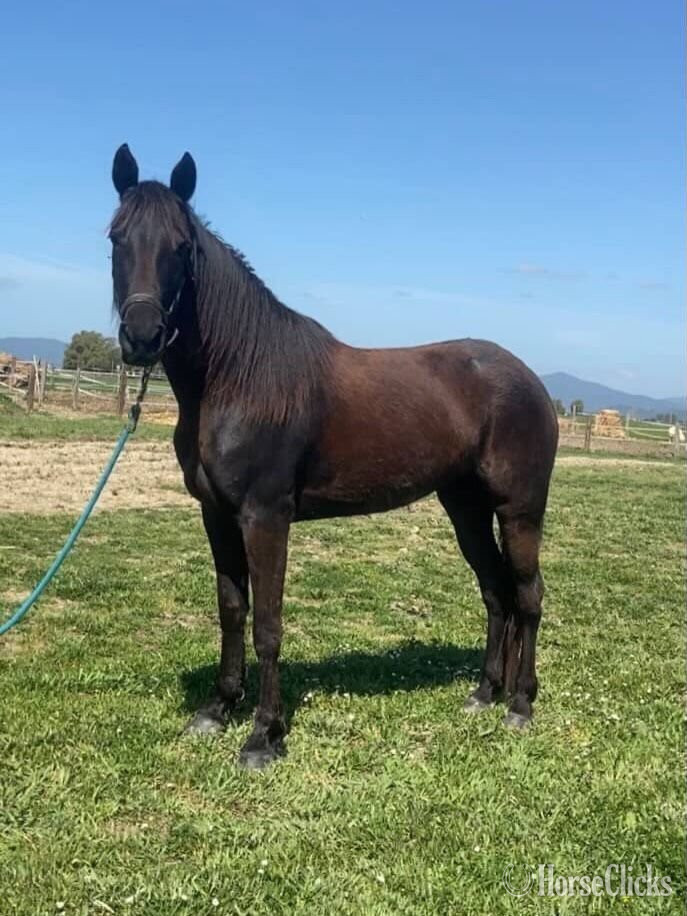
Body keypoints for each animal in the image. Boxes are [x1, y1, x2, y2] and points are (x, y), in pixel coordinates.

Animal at [109, 144, 558, 769]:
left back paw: (520, 705)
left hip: (520, 509)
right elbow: (232, 610)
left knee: (528, 595)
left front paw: (264, 736)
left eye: (182, 245)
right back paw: (484, 693)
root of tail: (531, 380)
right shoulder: (217, 515)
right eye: (116, 237)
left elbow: (268, 623)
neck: (239, 376)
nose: (143, 335)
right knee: (497, 592)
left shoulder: (265, 518)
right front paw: (217, 709)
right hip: (465, 507)